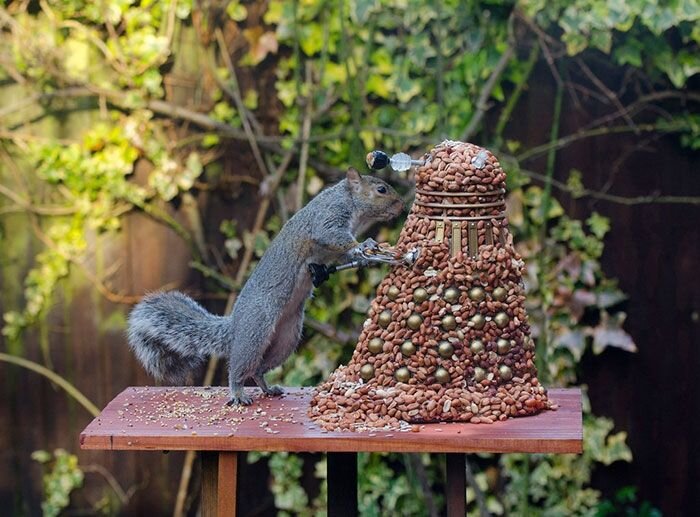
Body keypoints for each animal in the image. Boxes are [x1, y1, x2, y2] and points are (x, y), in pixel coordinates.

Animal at [125, 167, 400, 406]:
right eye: (381, 189)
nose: (400, 207)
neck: (349, 202)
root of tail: (235, 326)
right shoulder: (327, 218)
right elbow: (332, 236)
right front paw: (363, 245)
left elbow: (341, 257)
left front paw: (365, 255)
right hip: (255, 330)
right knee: (240, 369)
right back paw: (237, 393)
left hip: (286, 339)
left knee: (258, 370)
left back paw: (269, 389)